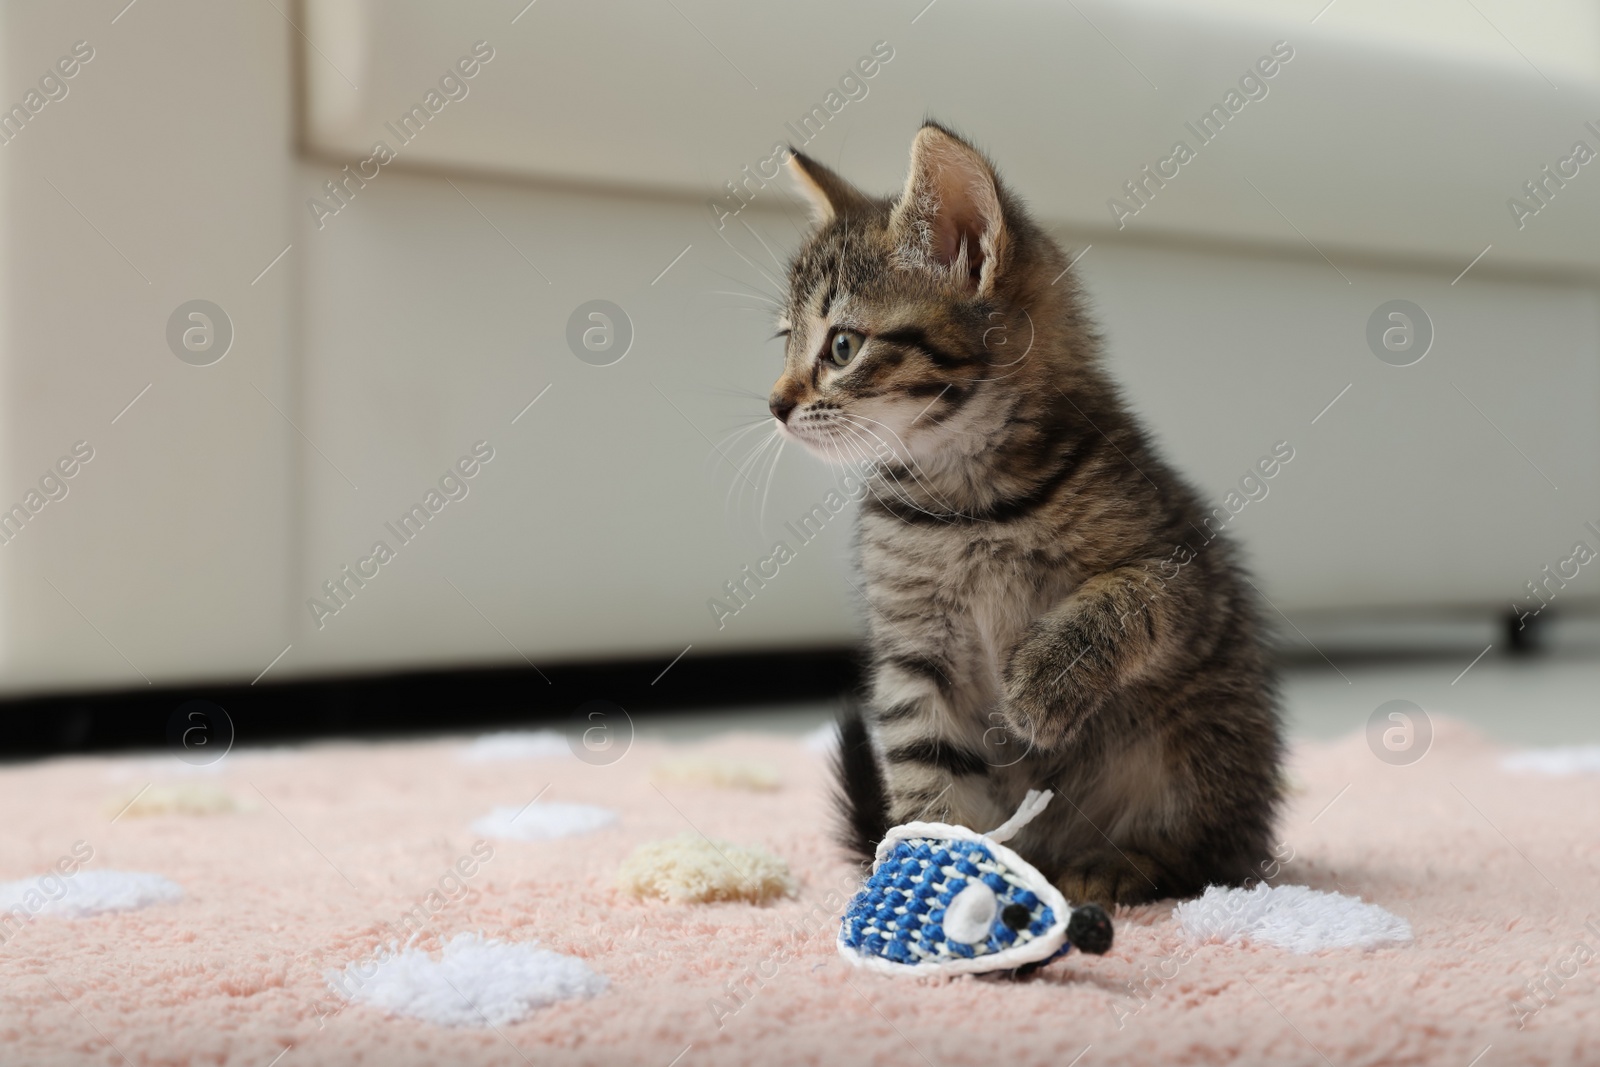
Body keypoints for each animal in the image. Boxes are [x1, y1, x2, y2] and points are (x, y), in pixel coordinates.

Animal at [768, 127, 1280, 908]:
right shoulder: (915, 652)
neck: (964, 501)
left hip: (1204, 741)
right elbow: (924, 763)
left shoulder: (1184, 572)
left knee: (1211, 857)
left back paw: (1118, 864)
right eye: (785, 341)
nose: (775, 405)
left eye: (842, 346)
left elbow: (1121, 599)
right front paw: (926, 869)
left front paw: (1042, 685)